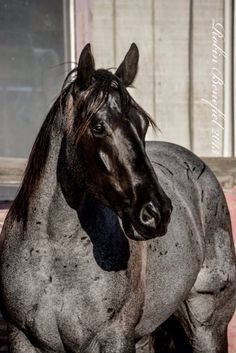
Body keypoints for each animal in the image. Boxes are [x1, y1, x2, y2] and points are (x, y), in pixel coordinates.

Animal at [0, 42, 235, 352]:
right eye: (98, 126)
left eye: (143, 125)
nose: (156, 213)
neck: (55, 253)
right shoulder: (22, 337)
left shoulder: (114, 336)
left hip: (206, 328)